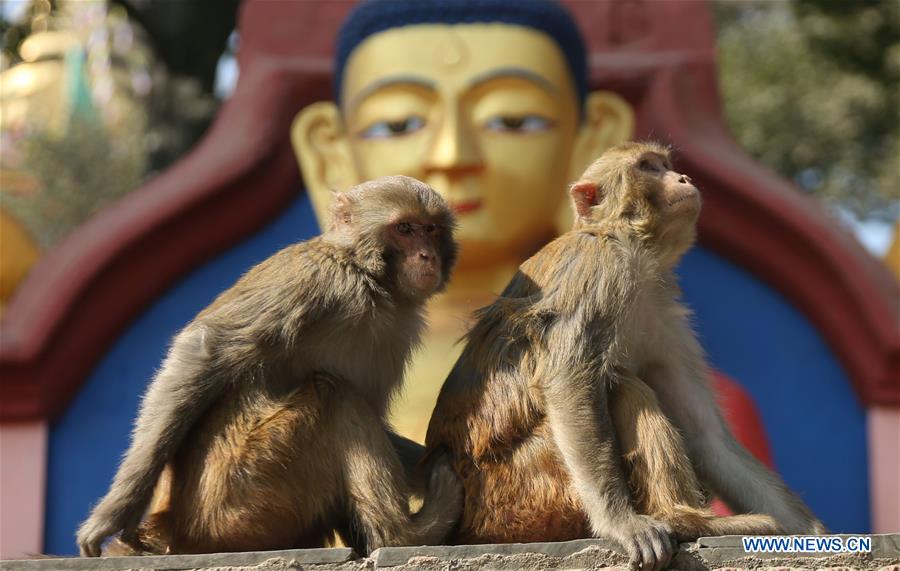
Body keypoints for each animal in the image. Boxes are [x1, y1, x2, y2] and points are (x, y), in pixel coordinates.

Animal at [77, 175, 463, 557]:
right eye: (405, 229)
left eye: (430, 230)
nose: (427, 255)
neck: (370, 281)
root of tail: (173, 526)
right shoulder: (319, 278)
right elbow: (207, 347)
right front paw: (118, 510)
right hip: (243, 493)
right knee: (335, 395)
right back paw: (404, 534)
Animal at [424, 142, 825, 571]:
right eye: (648, 168)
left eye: (666, 165)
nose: (684, 178)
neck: (632, 249)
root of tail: (464, 526)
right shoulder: (599, 268)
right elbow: (569, 380)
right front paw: (620, 523)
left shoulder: (667, 321)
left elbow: (707, 434)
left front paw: (814, 532)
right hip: (523, 495)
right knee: (621, 386)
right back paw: (685, 519)